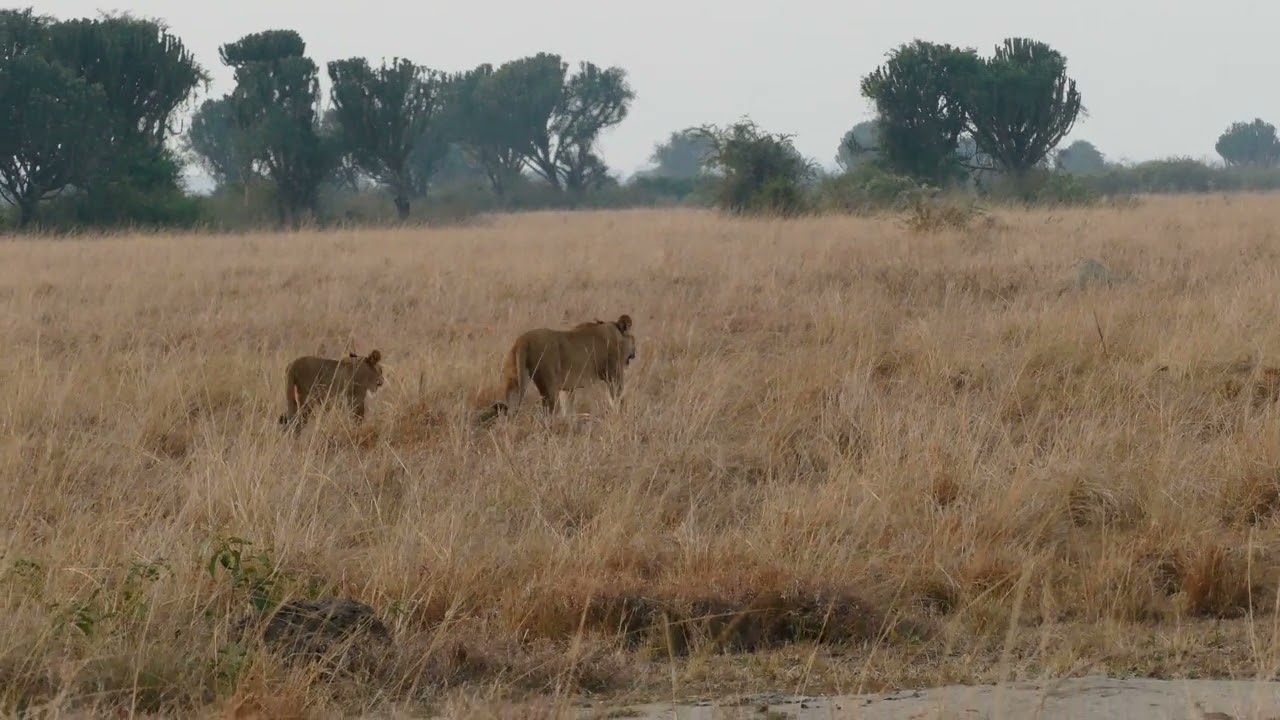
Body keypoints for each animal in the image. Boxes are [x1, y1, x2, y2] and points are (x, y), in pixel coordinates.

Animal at [479, 314, 636, 422]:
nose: (635, 352)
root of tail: (522, 340)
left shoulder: (567, 387)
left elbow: (568, 406)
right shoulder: (615, 375)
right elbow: (617, 398)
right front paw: (621, 415)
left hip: (514, 378)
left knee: (509, 404)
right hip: (548, 383)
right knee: (549, 411)